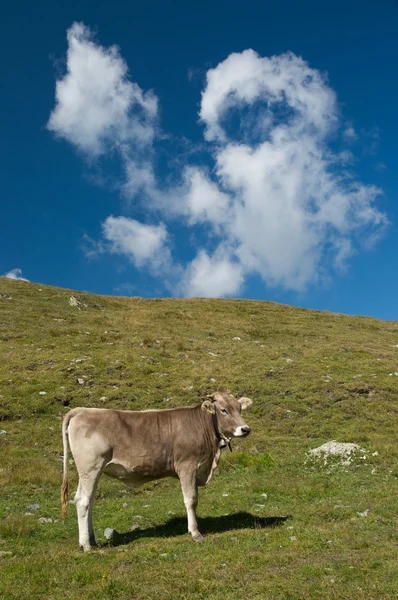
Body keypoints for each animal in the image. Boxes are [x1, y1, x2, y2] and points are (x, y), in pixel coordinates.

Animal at [59, 392, 252, 552]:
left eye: (239, 408)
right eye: (223, 410)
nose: (245, 429)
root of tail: (82, 410)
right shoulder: (187, 467)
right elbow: (191, 500)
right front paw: (195, 532)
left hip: (92, 471)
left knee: (89, 500)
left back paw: (91, 540)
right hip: (90, 468)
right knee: (83, 501)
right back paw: (86, 545)